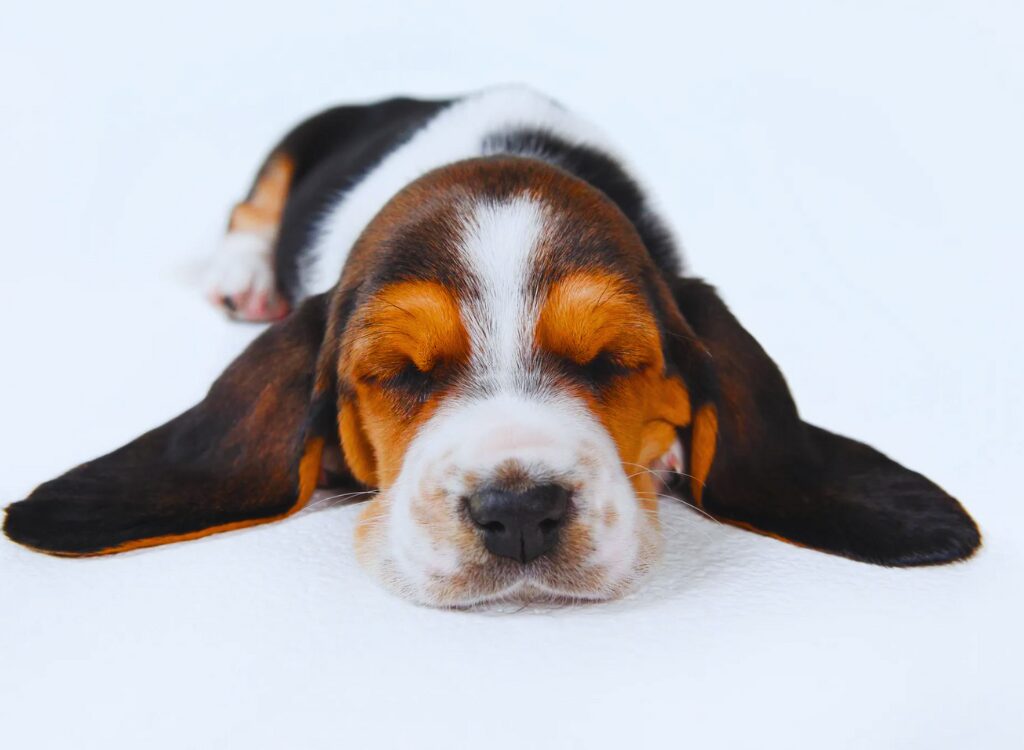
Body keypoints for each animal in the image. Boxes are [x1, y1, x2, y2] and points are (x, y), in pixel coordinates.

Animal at [0, 85, 978, 606]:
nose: (518, 513)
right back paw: (242, 270)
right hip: (299, 136)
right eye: (397, 373)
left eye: (608, 363)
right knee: (252, 201)